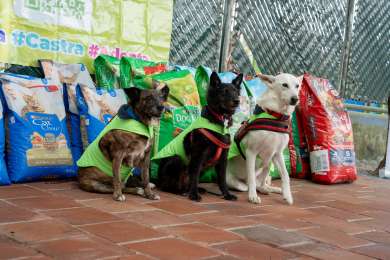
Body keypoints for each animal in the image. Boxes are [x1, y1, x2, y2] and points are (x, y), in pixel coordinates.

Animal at [156, 72, 242, 202]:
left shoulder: (223, 158)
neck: (219, 119)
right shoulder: (198, 155)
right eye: (224, 92)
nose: (236, 101)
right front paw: (194, 195)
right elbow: (195, 175)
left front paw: (227, 194)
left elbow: (222, 179)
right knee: (167, 186)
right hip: (178, 159)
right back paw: (182, 192)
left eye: (236, 92)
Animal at [225, 73, 302, 205]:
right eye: (284, 85)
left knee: (261, 184)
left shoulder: (277, 153)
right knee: (248, 185)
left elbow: (285, 175)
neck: (275, 116)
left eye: (297, 86)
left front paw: (287, 195)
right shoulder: (251, 152)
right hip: (238, 181)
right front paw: (252, 197)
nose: (295, 99)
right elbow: (251, 177)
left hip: (268, 162)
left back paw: (270, 189)